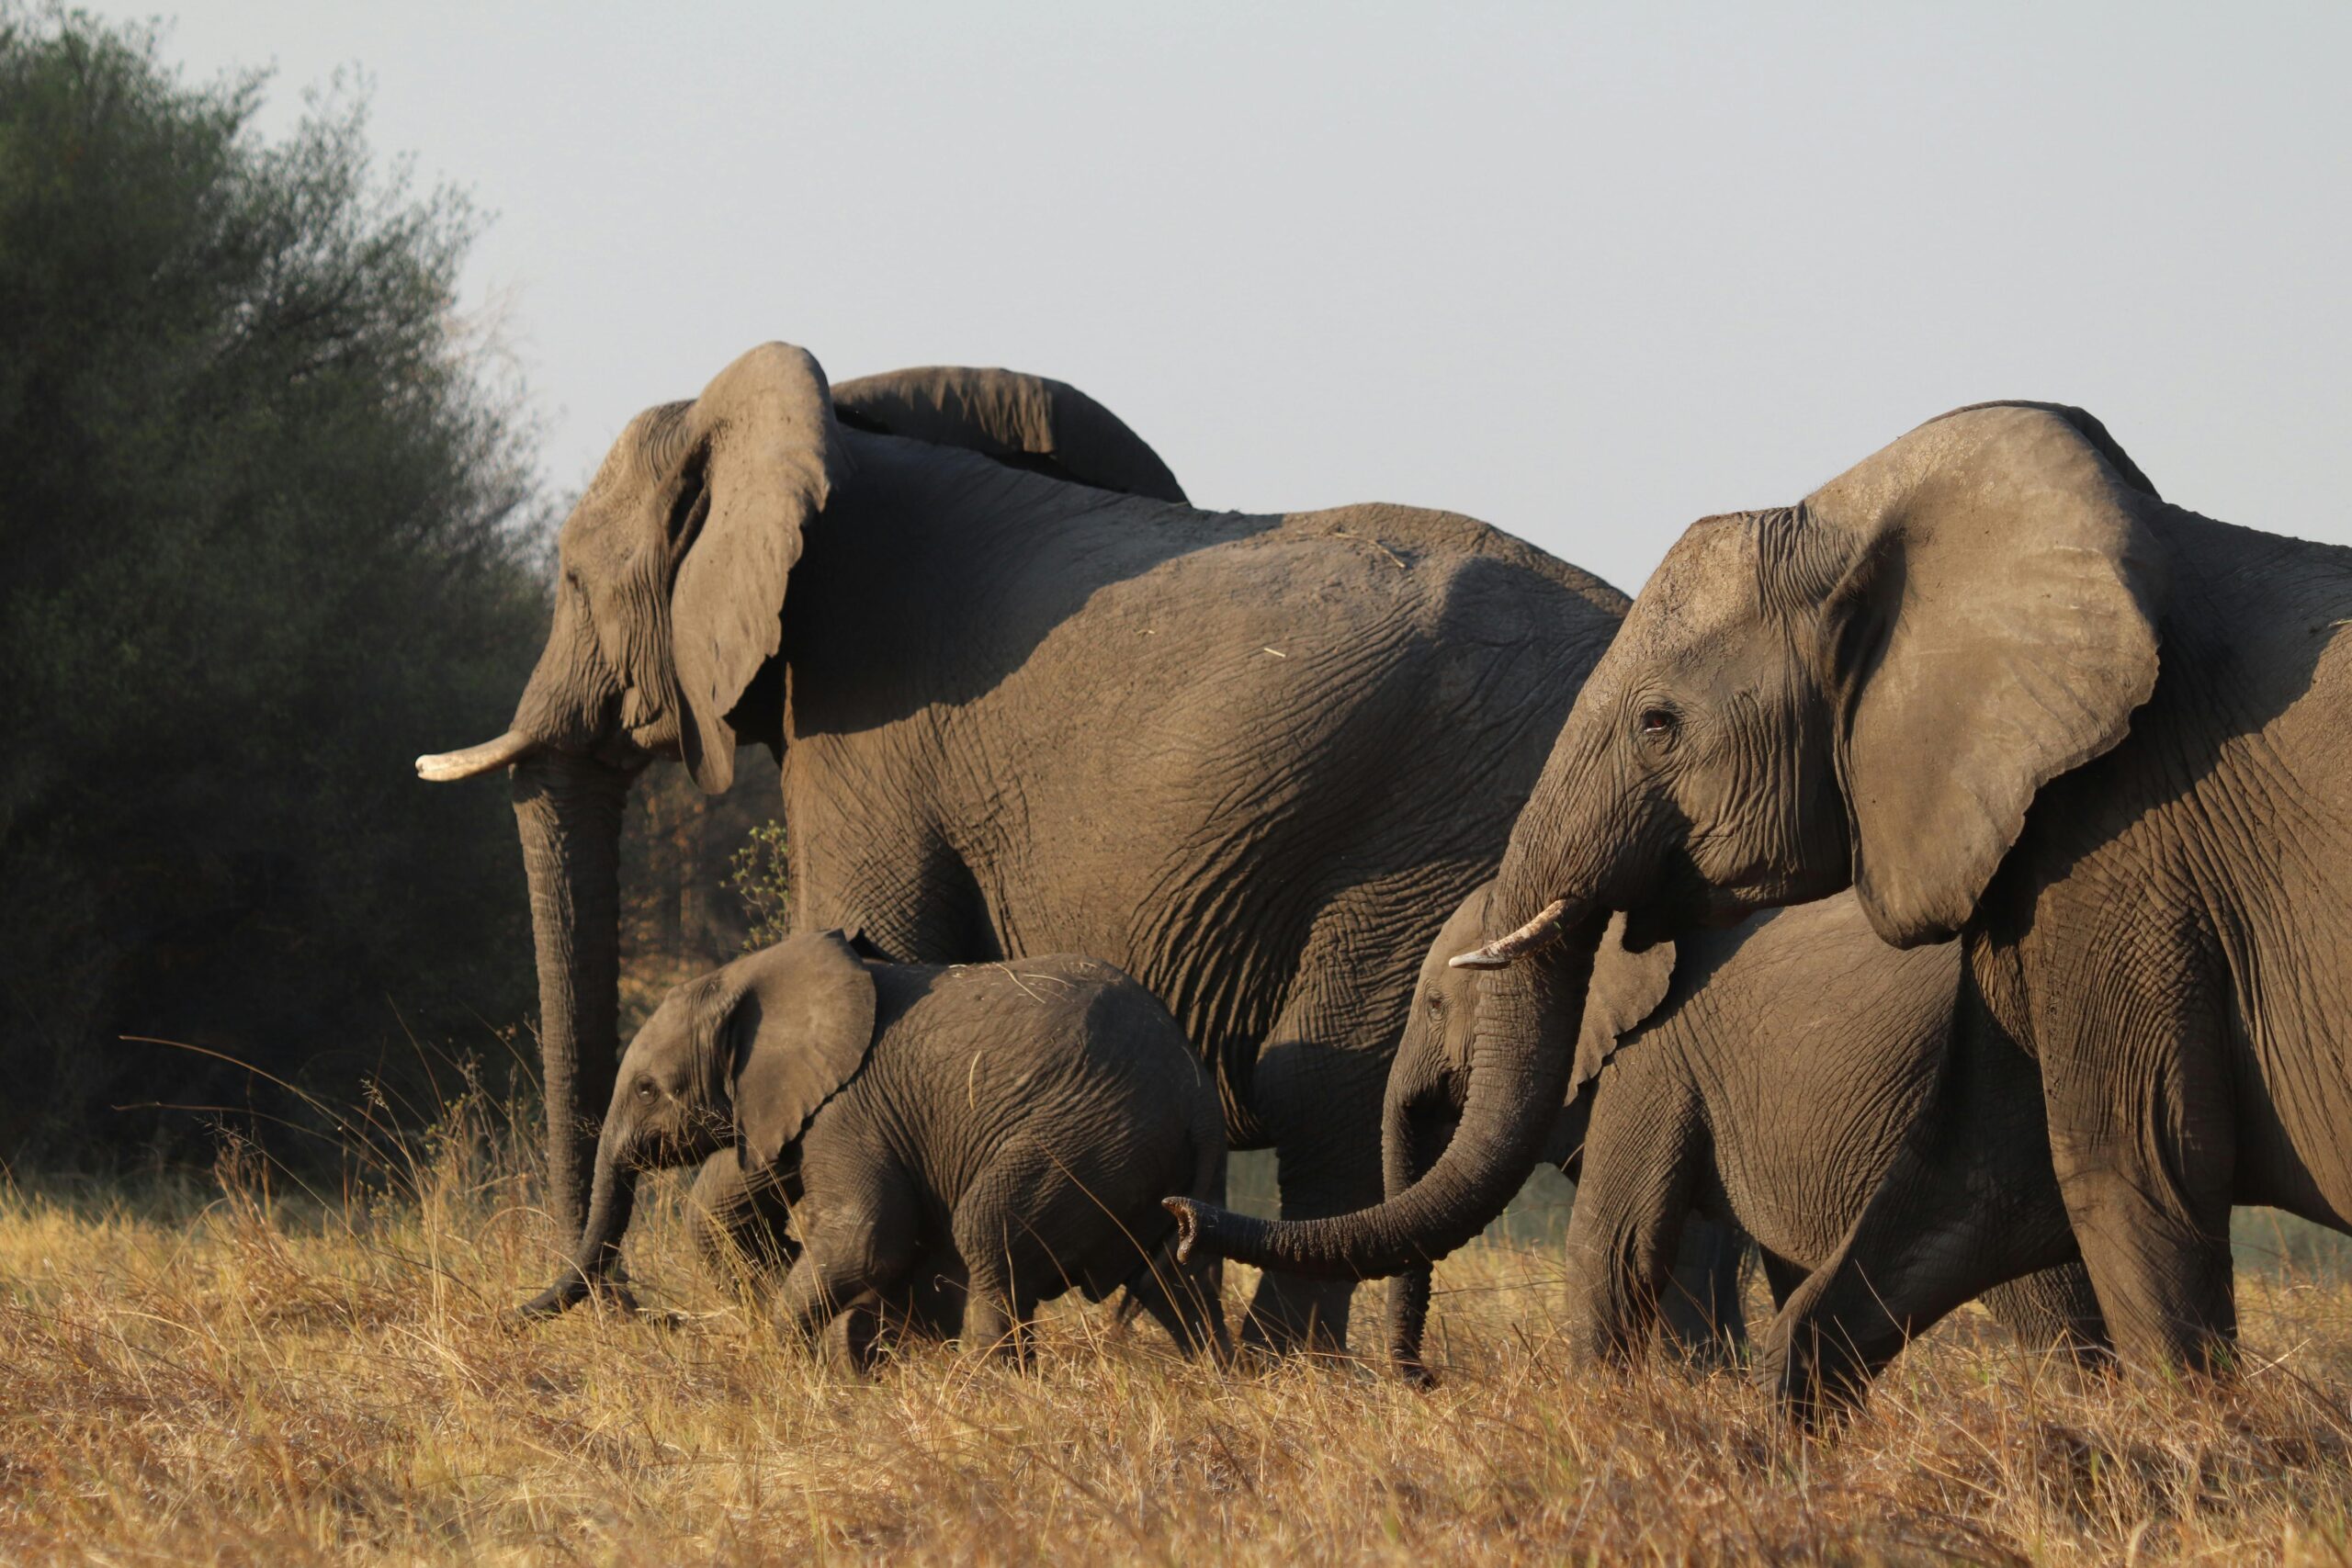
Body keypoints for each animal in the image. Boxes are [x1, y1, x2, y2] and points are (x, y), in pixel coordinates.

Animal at [526, 931, 1232, 1363]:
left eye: (647, 1089)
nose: (514, 1316)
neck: (751, 976)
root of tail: (1198, 1096)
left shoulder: (852, 1108)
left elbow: (870, 1236)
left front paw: (799, 1358)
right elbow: (724, 1209)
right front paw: (856, 1347)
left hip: (1086, 1135)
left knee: (991, 1230)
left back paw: (989, 1383)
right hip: (1148, 1158)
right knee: (1173, 1278)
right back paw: (1217, 1375)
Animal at [1176, 401, 2352, 1410]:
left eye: (1657, 724)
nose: (1181, 1218)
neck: (1868, 513)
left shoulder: (2126, 843)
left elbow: (2131, 1161)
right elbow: (1968, 1188)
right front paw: (1777, 1439)